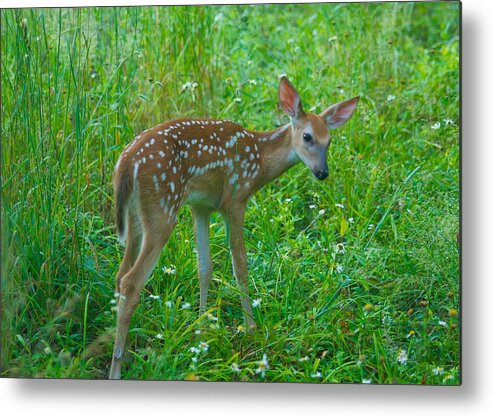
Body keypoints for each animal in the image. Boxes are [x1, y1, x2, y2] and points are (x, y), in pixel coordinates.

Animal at [109, 75, 360, 376]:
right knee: (131, 282)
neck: (260, 160)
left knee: (119, 275)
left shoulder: (200, 206)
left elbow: (205, 267)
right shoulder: (236, 199)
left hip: (135, 218)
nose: (322, 173)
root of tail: (126, 162)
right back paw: (116, 367)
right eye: (307, 136)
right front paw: (251, 327)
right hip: (162, 208)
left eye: (329, 141)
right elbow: (239, 264)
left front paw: (202, 329)